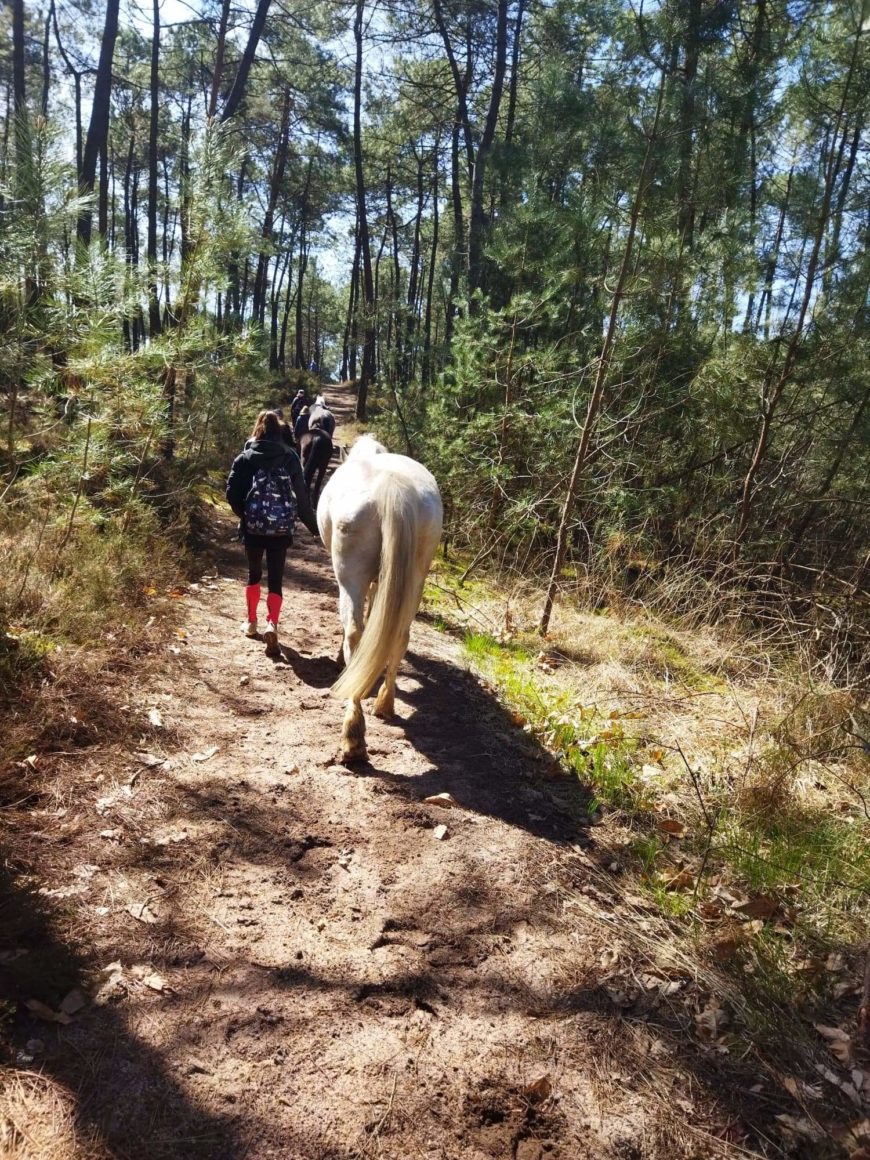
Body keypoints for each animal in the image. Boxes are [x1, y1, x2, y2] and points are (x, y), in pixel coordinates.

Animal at [317, 436, 443, 760]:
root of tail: (391, 486)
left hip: (350, 575)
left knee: (354, 632)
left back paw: (353, 735)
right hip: (415, 577)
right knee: (400, 634)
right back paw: (385, 703)